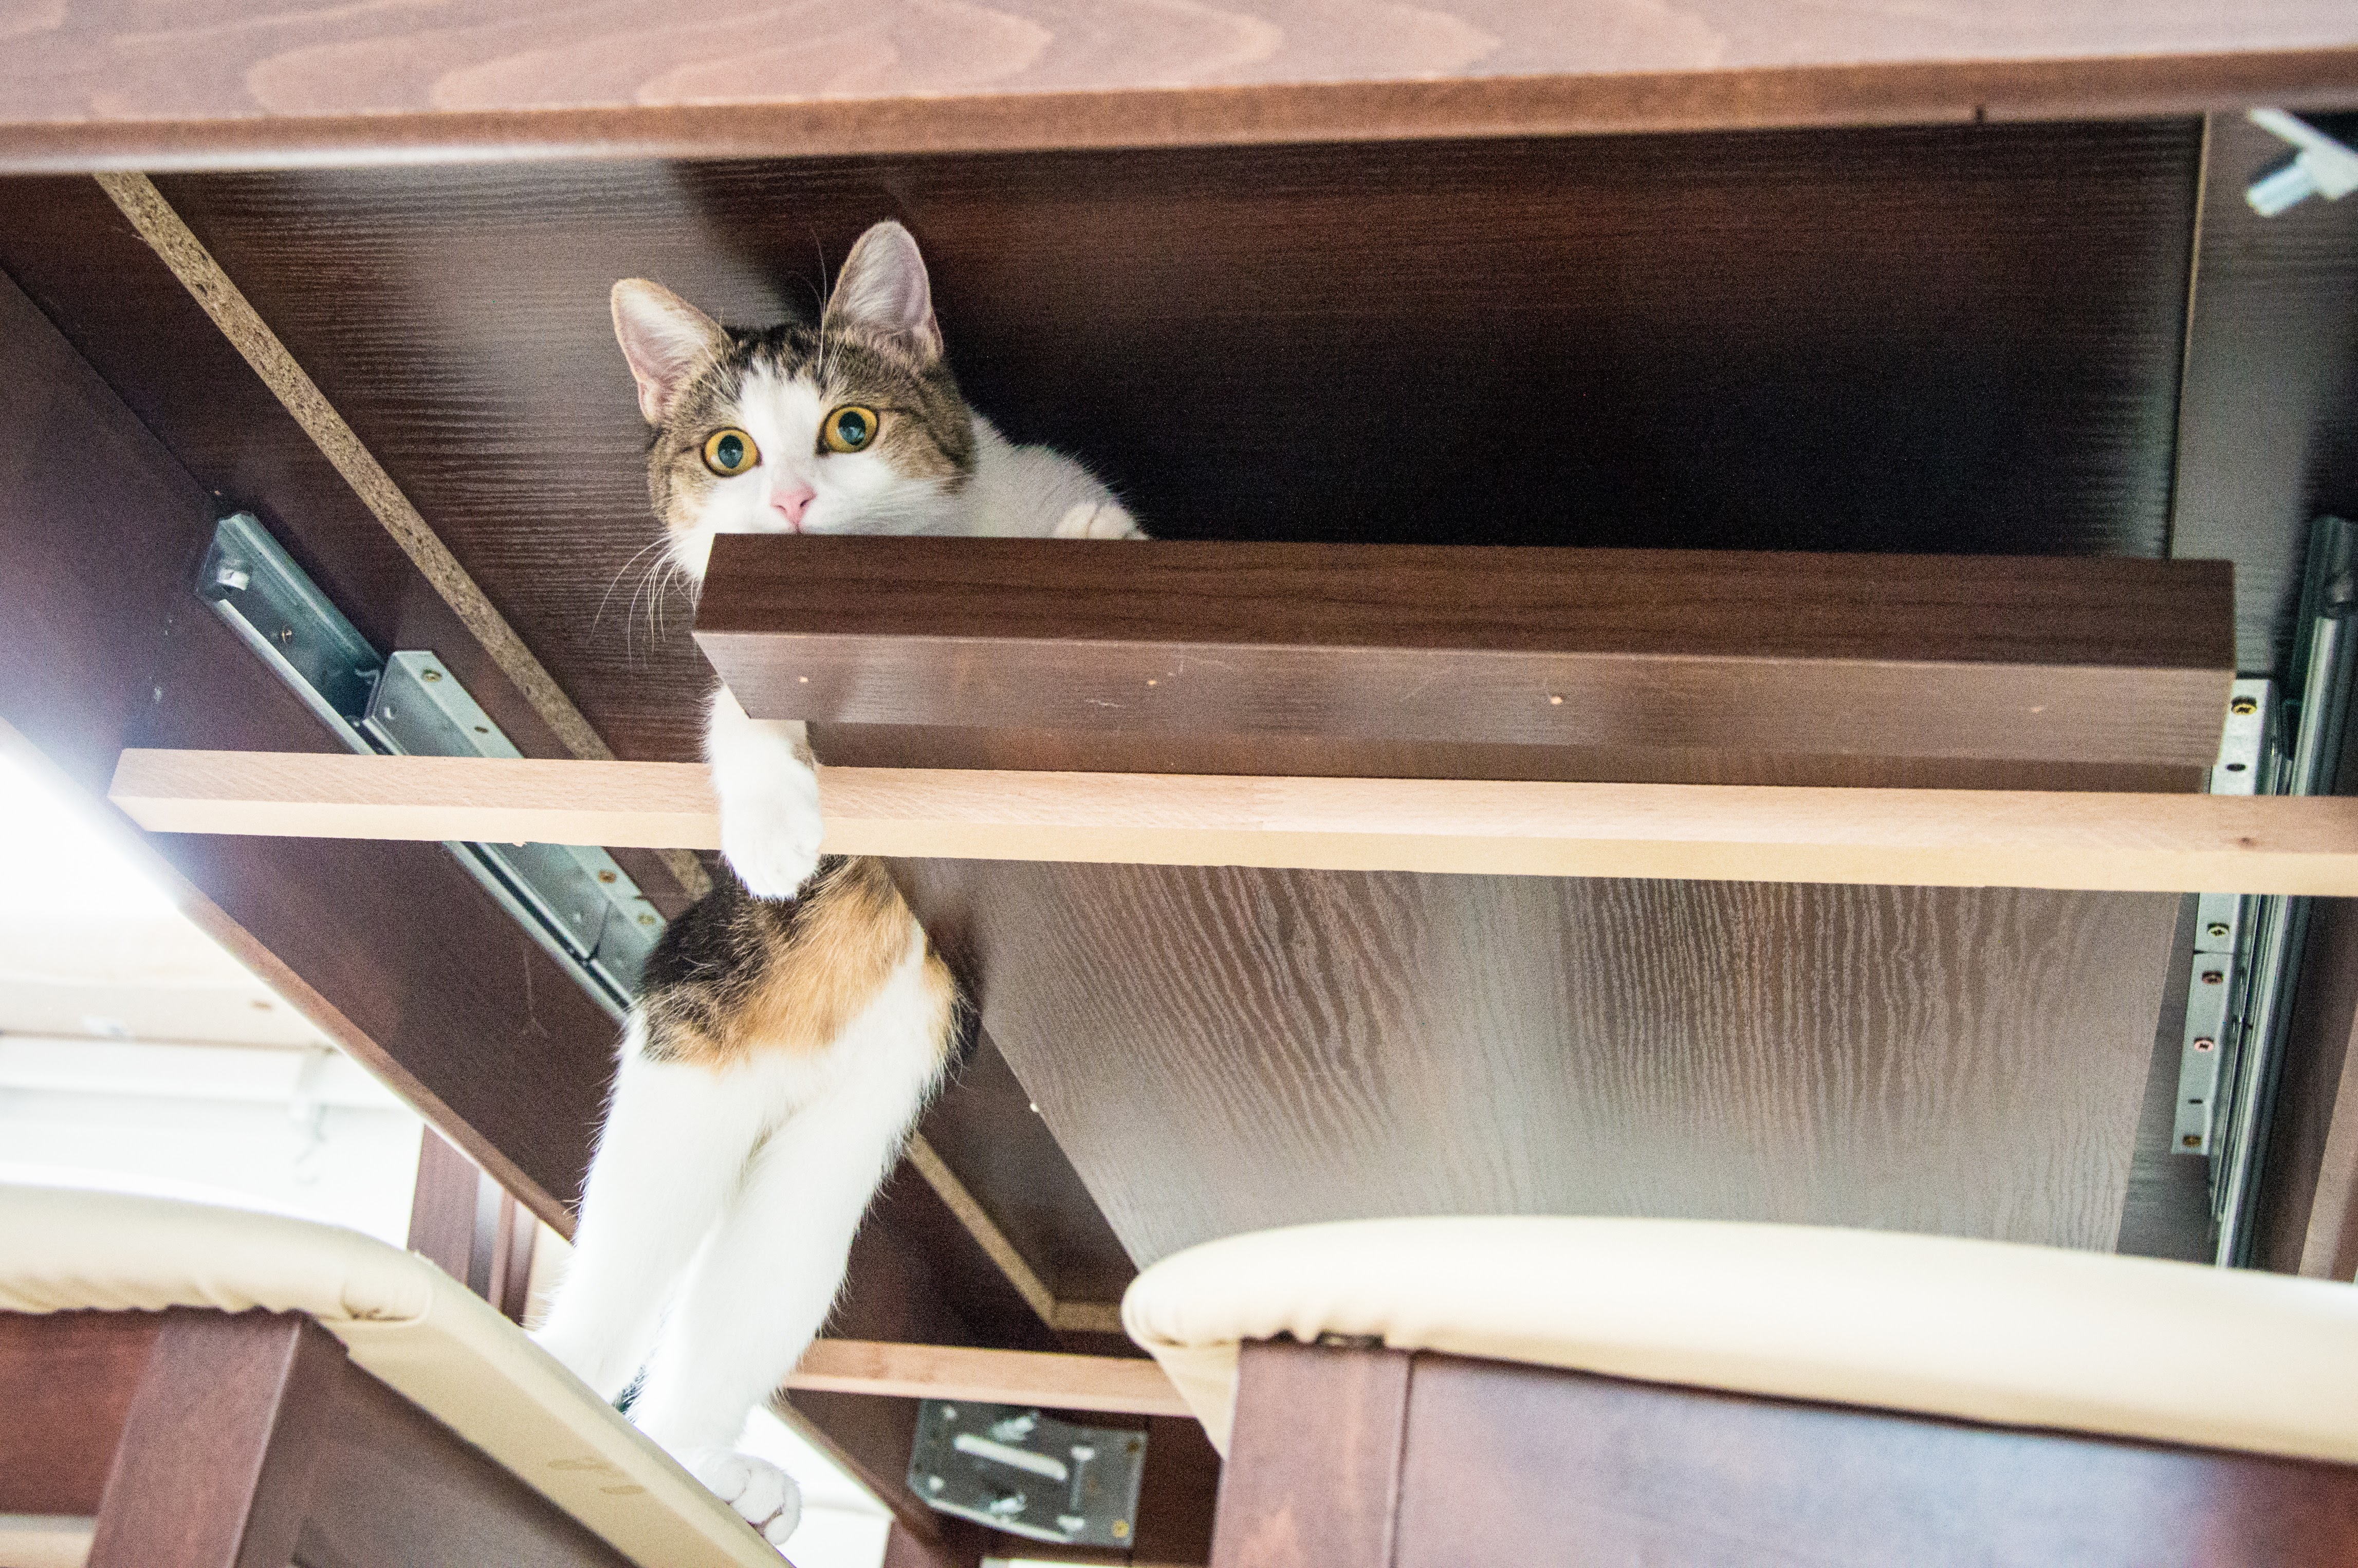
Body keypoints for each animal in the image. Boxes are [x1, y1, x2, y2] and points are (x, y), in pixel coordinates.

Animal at [534, 220, 1142, 1549]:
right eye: (729, 451)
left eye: (850, 427)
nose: (794, 503)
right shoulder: (750, 668)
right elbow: (739, 722)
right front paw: (774, 832)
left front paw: (1088, 548)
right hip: (679, 1106)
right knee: (605, 1306)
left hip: (816, 1195)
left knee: (716, 1333)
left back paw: (710, 1473)